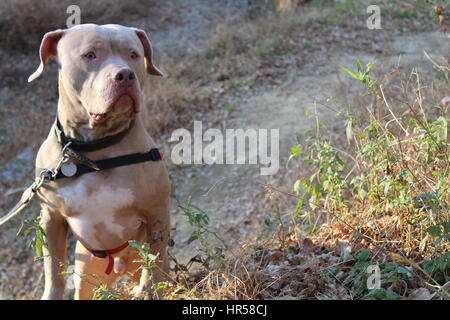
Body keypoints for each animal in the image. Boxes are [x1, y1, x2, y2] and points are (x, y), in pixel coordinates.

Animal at [28, 24, 171, 300]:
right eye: (90, 55)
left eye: (133, 55)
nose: (125, 75)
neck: (94, 150)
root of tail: (119, 266)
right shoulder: (51, 218)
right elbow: (53, 269)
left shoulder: (155, 210)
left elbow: (155, 258)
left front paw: (149, 290)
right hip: (86, 272)